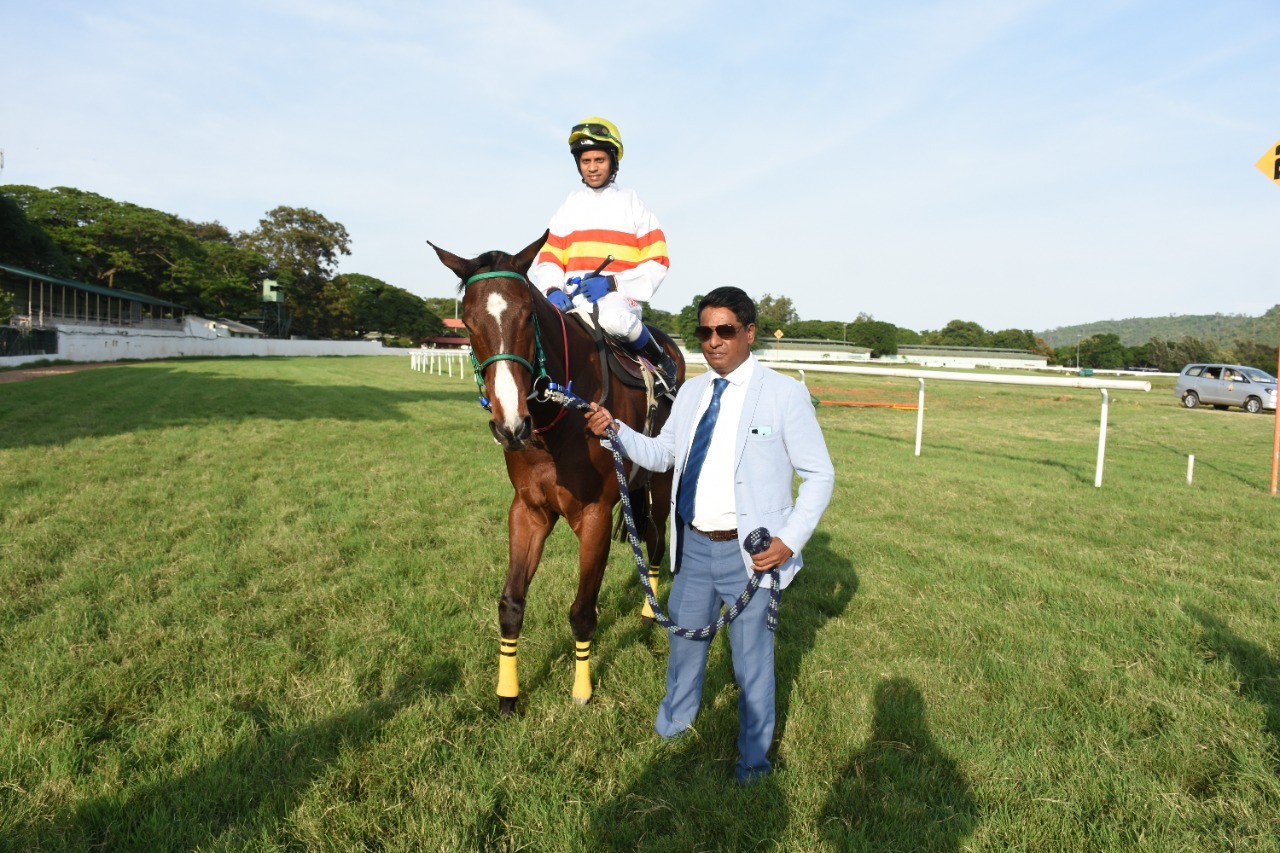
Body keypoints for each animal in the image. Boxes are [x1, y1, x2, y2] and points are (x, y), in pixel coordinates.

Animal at [429, 232, 686, 716]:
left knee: (658, 541)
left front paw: (581, 691)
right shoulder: (528, 510)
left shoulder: (596, 514)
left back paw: (649, 616)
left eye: (527, 315)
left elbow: (583, 610)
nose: (510, 426)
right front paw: (507, 695)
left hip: (659, 484)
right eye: (468, 323)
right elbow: (511, 603)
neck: (561, 415)